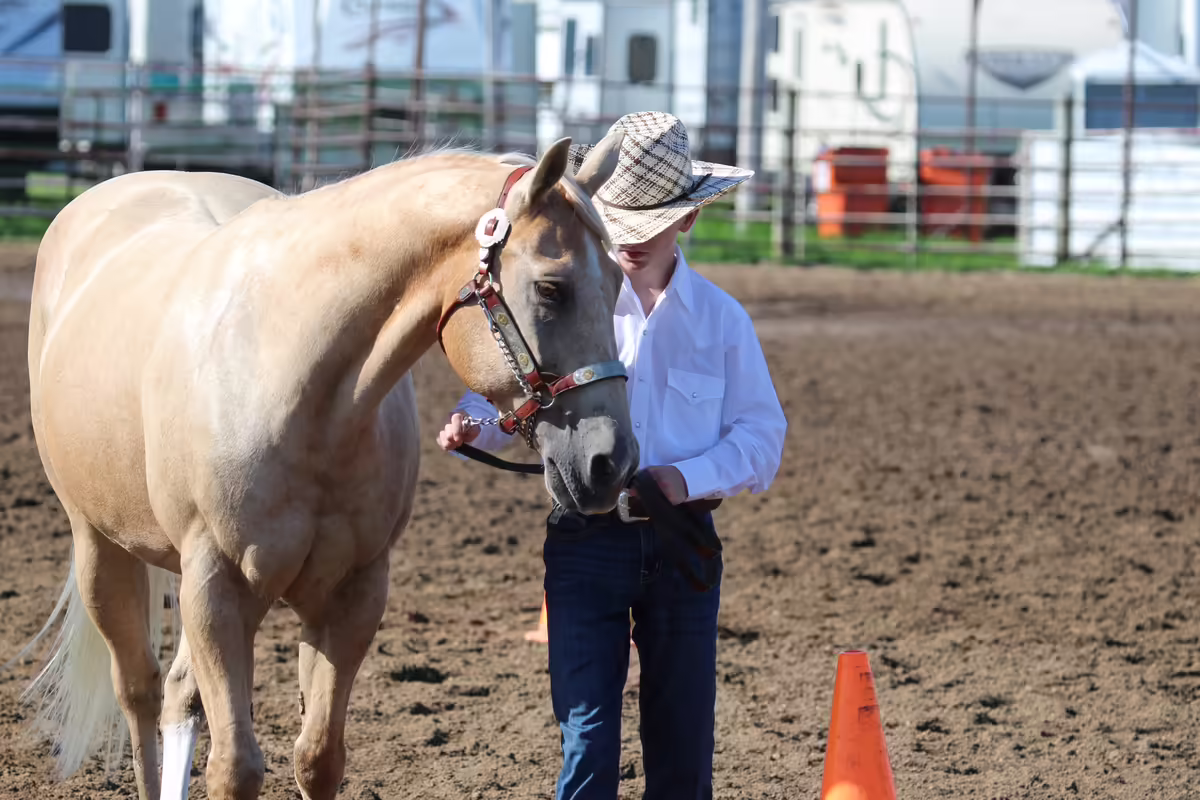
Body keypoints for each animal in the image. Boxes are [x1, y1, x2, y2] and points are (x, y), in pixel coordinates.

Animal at [11, 131, 638, 800]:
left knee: (178, 693)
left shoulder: (351, 594)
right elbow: (234, 768)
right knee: (140, 692)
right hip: (100, 548)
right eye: (551, 288)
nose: (610, 461)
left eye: (618, 284)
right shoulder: (215, 588)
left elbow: (319, 757)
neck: (291, 378)